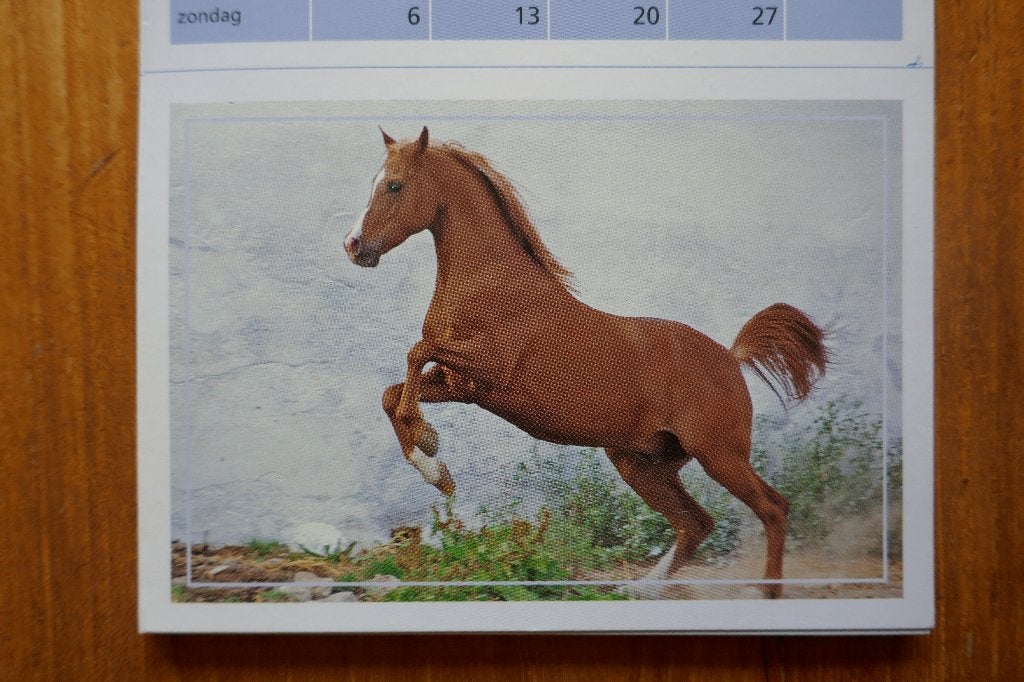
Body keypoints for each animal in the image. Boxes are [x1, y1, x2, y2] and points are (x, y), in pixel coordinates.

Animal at [343, 127, 828, 598]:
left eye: (394, 184)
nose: (354, 246)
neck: (491, 286)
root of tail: (730, 357)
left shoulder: (490, 368)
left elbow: (415, 353)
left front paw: (430, 446)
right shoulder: (460, 385)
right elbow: (392, 392)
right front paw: (436, 467)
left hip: (719, 454)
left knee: (772, 508)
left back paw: (766, 592)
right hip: (642, 463)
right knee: (696, 522)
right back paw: (640, 589)